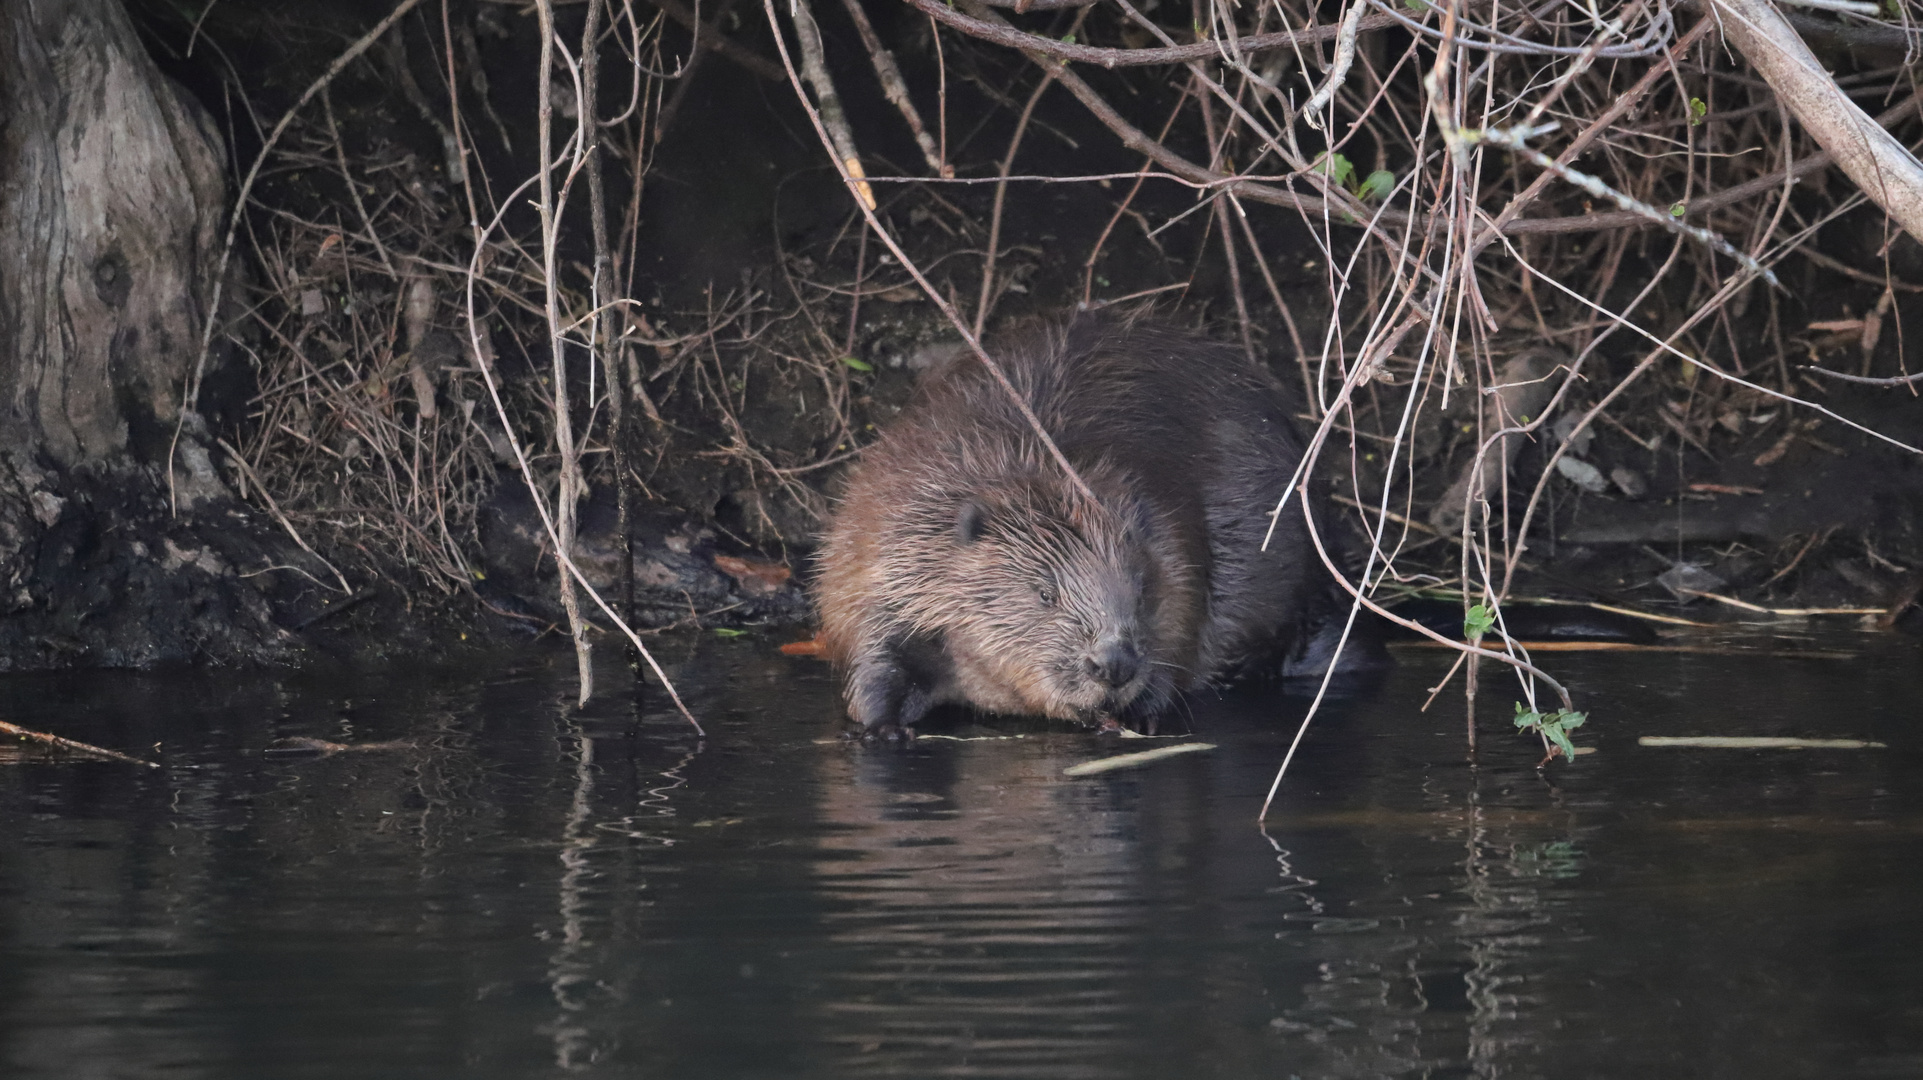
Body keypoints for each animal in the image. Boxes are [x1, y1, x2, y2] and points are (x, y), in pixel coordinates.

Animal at [811, 311, 1369, 730]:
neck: (1035, 462)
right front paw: (883, 726)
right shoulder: (891, 538)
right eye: (1044, 593)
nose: (1113, 664)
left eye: (1141, 592)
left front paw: (1142, 715)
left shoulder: (1174, 547)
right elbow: (872, 640)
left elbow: (1182, 630)